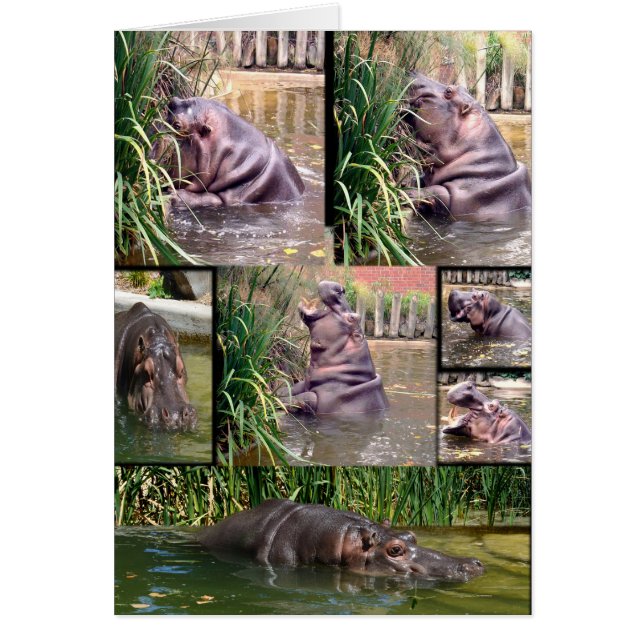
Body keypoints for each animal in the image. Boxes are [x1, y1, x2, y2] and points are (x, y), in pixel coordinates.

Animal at [280, 281, 389, 414]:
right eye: (357, 316)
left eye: (352, 318)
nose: (341, 289)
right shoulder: (305, 382)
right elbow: (291, 388)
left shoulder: (328, 395)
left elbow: (307, 396)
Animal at [406, 73, 531, 218]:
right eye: (461, 87)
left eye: (449, 91)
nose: (413, 72)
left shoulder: (466, 193)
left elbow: (439, 191)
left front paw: (407, 193)